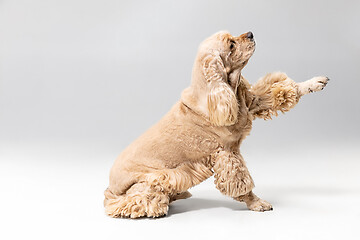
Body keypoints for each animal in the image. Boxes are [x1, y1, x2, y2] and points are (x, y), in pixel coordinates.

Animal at [103, 30, 330, 218]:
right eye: (231, 45)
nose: (250, 33)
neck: (215, 92)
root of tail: (110, 188)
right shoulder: (227, 153)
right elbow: (242, 182)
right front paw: (256, 203)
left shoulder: (250, 103)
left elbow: (282, 91)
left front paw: (314, 82)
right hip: (152, 179)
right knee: (130, 202)